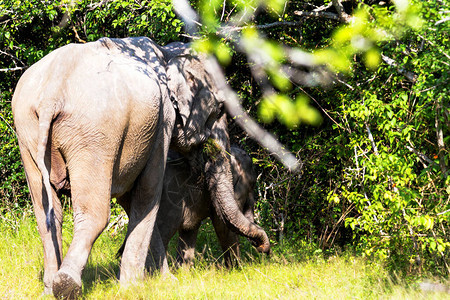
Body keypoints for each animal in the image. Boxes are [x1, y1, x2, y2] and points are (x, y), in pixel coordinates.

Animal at [12, 37, 268, 298]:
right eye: (219, 109)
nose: (264, 247)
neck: (169, 52)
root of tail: (51, 94)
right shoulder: (162, 122)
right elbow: (148, 195)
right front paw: (137, 287)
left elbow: (131, 199)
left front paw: (165, 282)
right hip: (94, 135)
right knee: (94, 214)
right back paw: (66, 286)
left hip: (27, 130)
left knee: (47, 215)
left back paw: (48, 290)